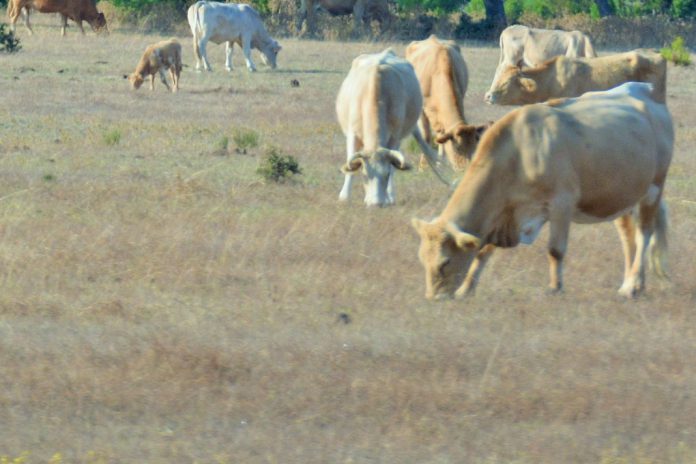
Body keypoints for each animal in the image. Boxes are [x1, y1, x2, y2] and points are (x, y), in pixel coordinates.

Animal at [334, 49, 444, 207]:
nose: (376, 204)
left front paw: (389, 196)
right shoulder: (352, 135)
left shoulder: (395, 137)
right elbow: (350, 162)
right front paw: (344, 196)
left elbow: (392, 165)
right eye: (364, 175)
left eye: (385, 175)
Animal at [406, 34, 492, 171]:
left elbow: (441, 135)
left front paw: (440, 163)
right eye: (456, 147)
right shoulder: (422, 110)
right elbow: (427, 136)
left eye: (474, 146)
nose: (464, 169)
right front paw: (424, 166)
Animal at [414, 82, 676, 300]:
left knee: (644, 235)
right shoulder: (503, 216)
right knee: (628, 238)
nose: (434, 297)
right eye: (422, 259)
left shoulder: (561, 204)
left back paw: (632, 285)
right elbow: (483, 252)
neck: (518, 154)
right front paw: (466, 289)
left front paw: (555, 287)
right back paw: (632, 284)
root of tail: (645, 89)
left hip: (654, 189)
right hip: (621, 198)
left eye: (445, 262)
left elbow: (555, 251)